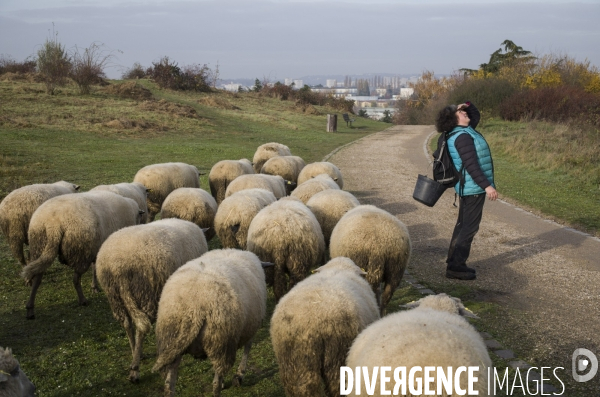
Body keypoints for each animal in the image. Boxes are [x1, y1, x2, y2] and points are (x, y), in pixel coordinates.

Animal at [20, 190, 143, 318]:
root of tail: (53, 224)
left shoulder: (96, 249)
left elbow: (94, 268)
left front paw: (94, 287)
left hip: (39, 245)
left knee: (37, 278)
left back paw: (30, 309)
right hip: (81, 252)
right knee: (76, 279)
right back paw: (82, 300)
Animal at [95, 218, 209, 382]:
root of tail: (119, 267)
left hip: (114, 295)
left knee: (127, 323)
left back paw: (136, 353)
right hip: (145, 292)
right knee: (141, 328)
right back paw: (135, 370)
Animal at [154, 249, 268, 394]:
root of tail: (193, 308)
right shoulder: (251, 327)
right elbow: (247, 349)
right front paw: (239, 375)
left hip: (170, 339)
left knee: (169, 384)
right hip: (221, 341)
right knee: (216, 382)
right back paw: (220, 385)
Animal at [270, 256, 380, 396]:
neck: (338, 268)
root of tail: (313, 323)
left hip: (294, 360)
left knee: (298, 386)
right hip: (338, 358)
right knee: (337, 386)